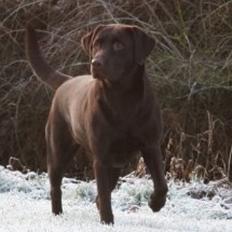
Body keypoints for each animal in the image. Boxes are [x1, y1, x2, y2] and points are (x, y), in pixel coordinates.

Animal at [25, 23, 168, 223]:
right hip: (58, 150)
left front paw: (155, 203)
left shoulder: (151, 145)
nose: (96, 63)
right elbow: (104, 192)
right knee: (56, 187)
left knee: (101, 192)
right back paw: (58, 215)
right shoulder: (101, 156)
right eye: (96, 44)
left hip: (115, 164)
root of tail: (67, 81)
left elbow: (161, 183)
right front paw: (107, 221)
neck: (122, 99)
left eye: (119, 45)